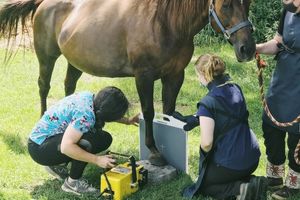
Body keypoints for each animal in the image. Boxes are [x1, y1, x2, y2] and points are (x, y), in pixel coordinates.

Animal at [0, 0, 254, 166]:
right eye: (226, 4)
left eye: (248, 1)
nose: (247, 49)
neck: (165, 23)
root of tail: (43, 4)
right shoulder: (144, 76)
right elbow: (149, 111)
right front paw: (154, 151)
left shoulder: (175, 75)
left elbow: (168, 109)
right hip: (47, 57)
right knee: (44, 86)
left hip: (75, 61)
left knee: (68, 85)